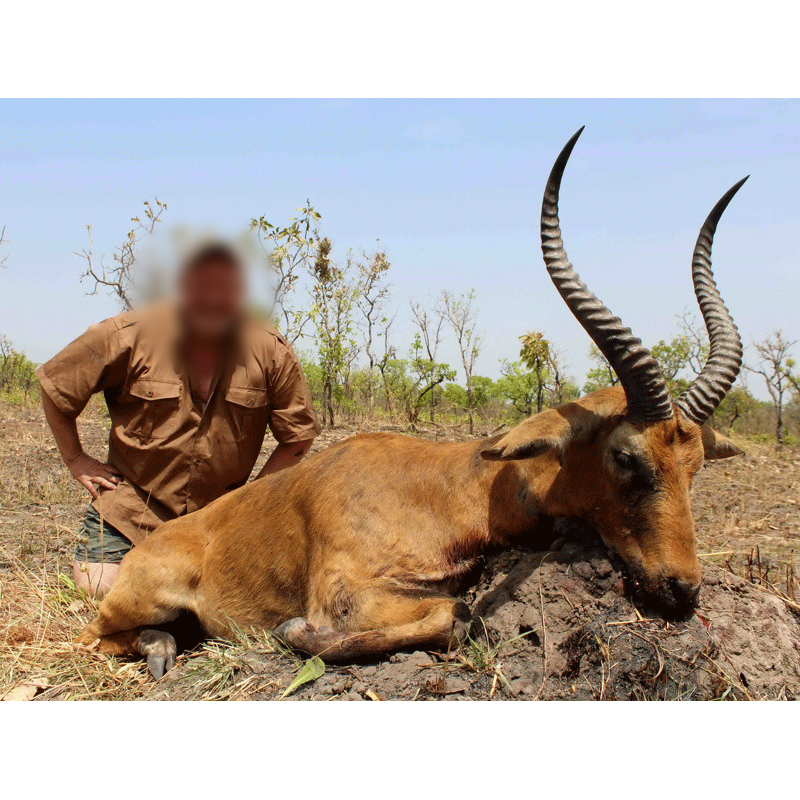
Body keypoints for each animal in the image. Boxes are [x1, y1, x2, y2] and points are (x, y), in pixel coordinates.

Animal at [76, 130, 752, 676]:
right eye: (626, 457)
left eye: (693, 466)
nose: (683, 590)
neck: (447, 484)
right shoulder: (345, 592)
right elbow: (452, 614)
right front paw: (294, 632)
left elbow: (454, 609)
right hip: (136, 600)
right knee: (97, 635)